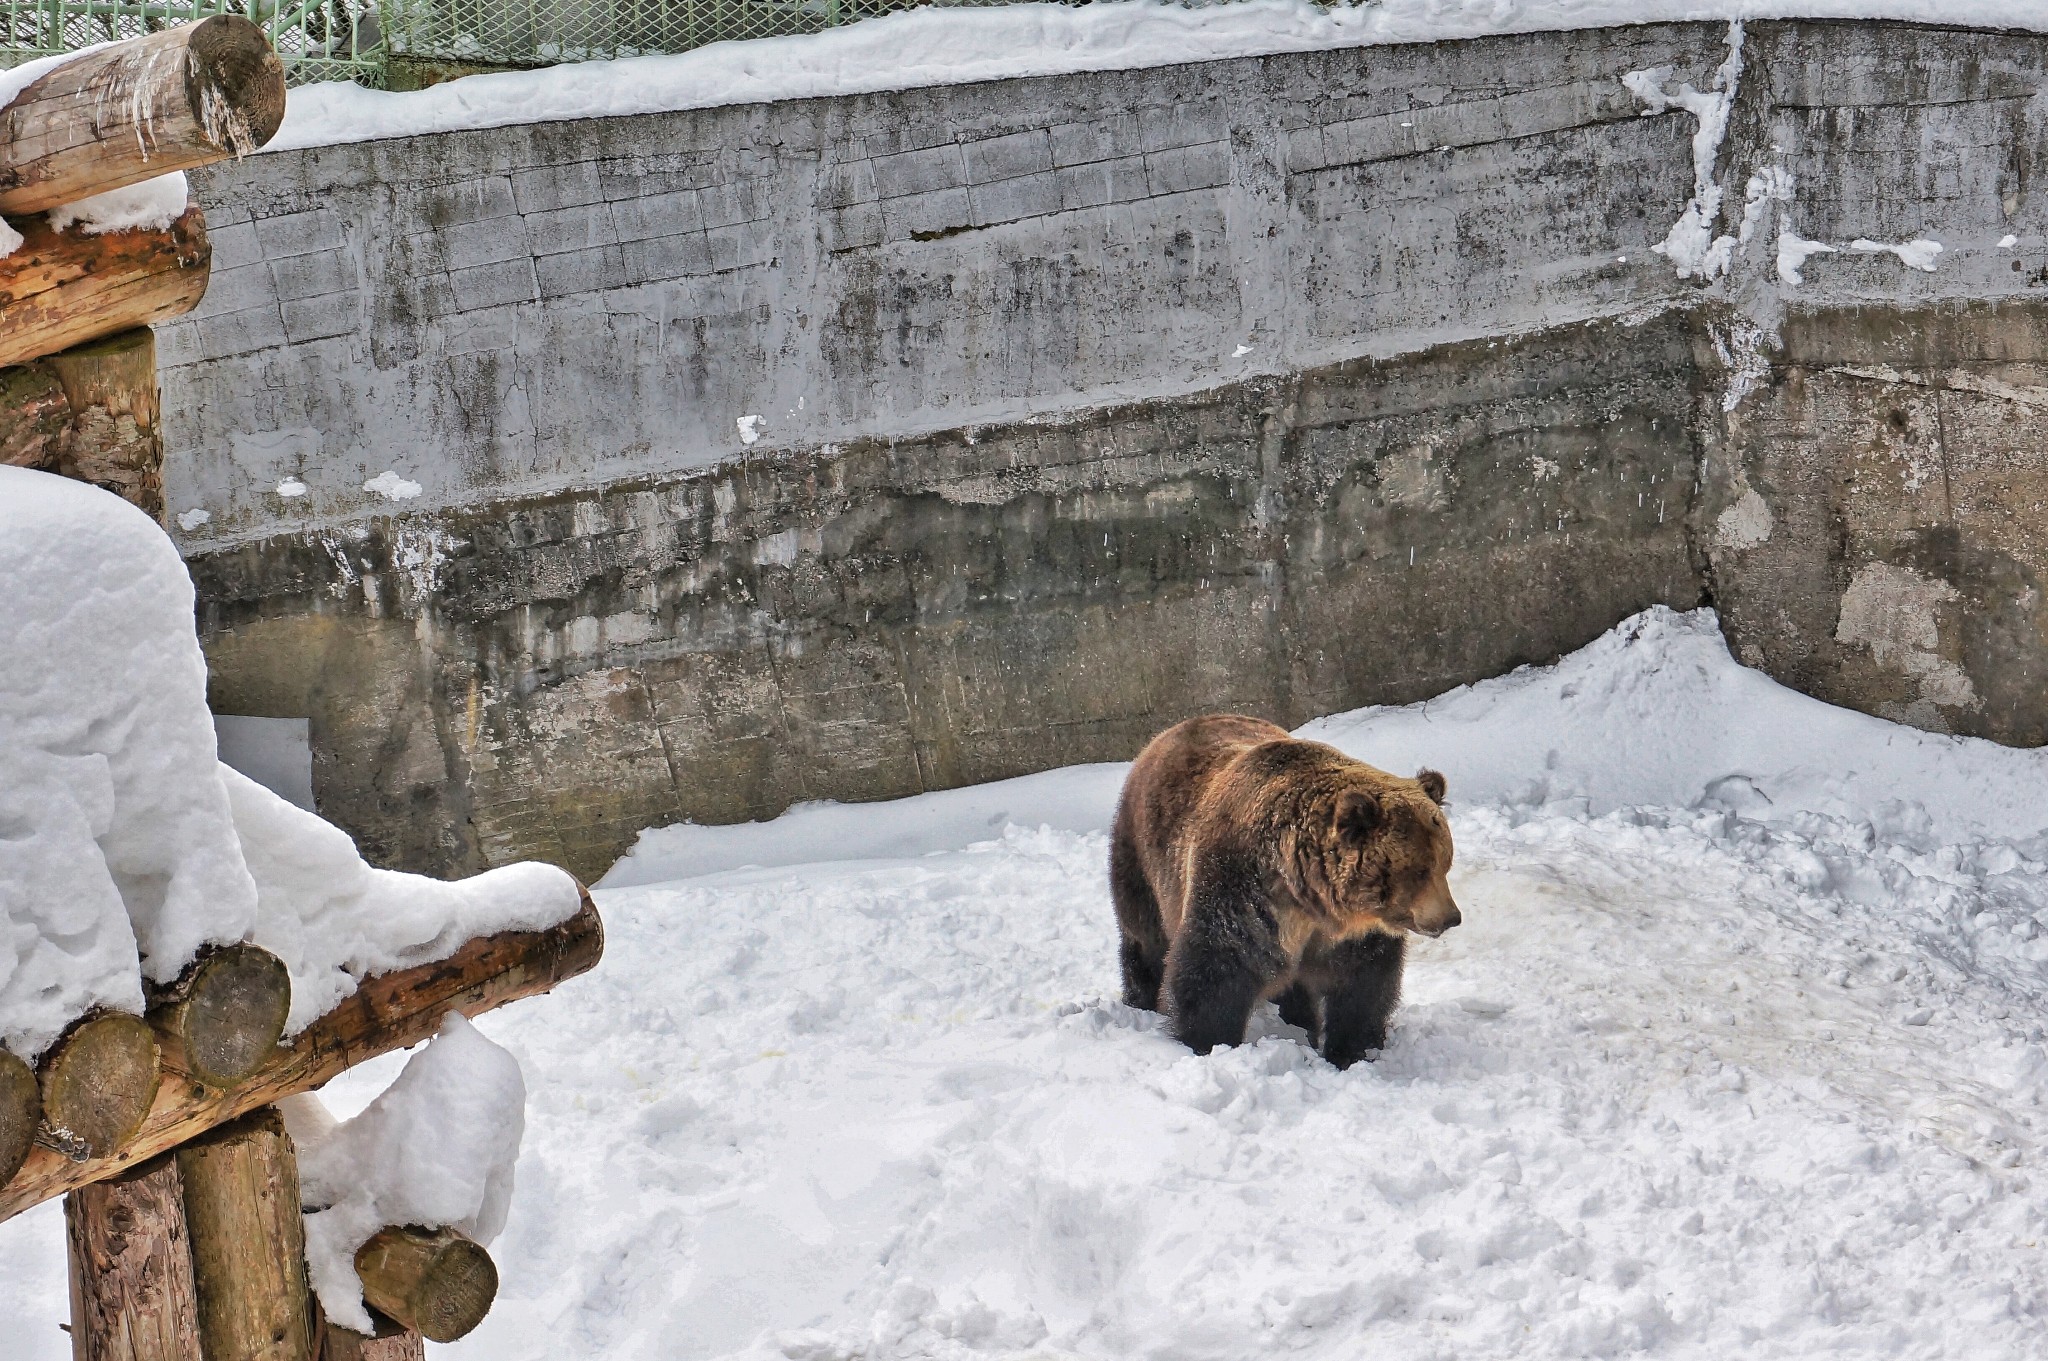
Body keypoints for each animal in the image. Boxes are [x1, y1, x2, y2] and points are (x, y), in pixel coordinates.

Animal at [1122, 712, 1458, 1064]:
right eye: (1419, 871)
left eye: (1444, 862)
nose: (1450, 917)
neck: (1307, 895)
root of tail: (1168, 733)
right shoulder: (1243, 894)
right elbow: (1216, 969)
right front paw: (1209, 1043)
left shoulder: (1349, 933)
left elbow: (1364, 984)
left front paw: (1352, 1050)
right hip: (1142, 857)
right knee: (1145, 938)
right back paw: (1142, 1000)